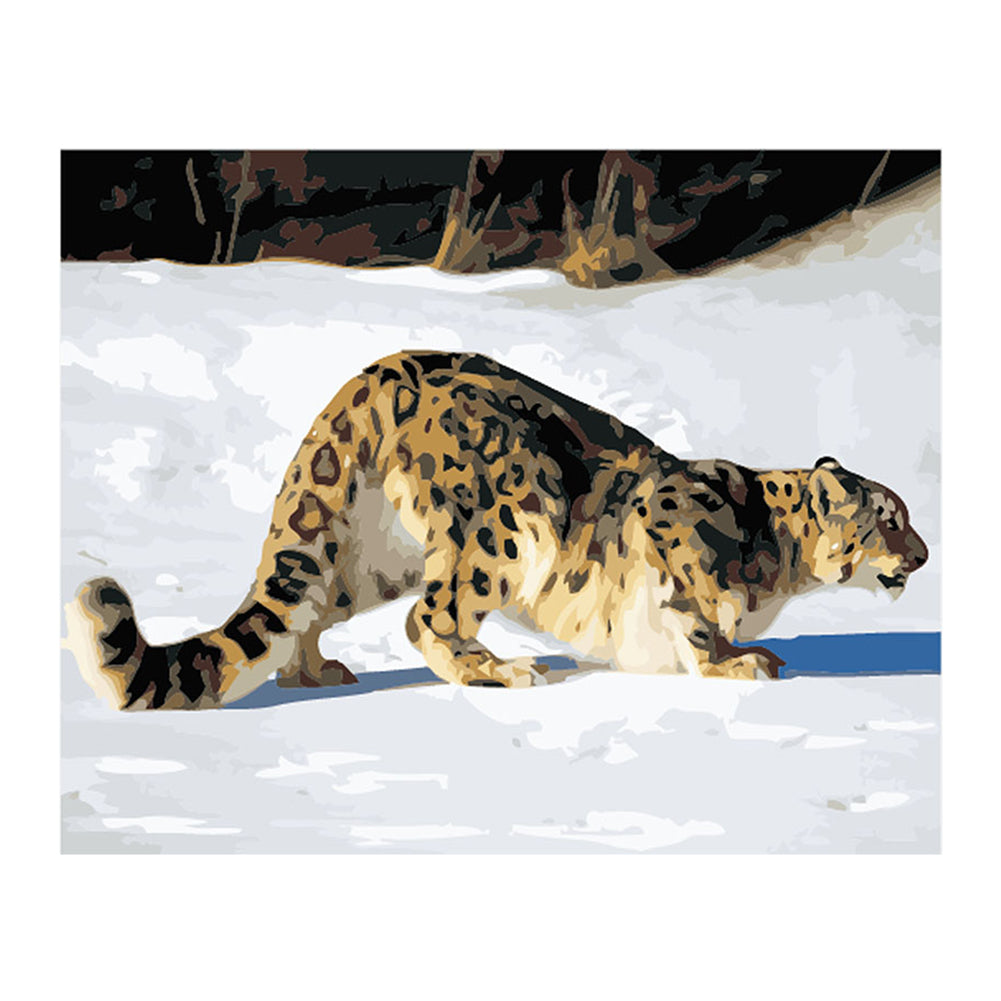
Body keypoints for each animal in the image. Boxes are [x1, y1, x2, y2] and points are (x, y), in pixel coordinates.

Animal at [66, 350, 929, 710]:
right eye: (888, 516)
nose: (922, 555)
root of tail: (371, 376)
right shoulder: (673, 525)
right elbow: (696, 614)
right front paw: (738, 662)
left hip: (371, 555)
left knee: (308, 602)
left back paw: (316, 673)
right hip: (513, 517)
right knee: (431, 616)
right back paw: (498, 669)